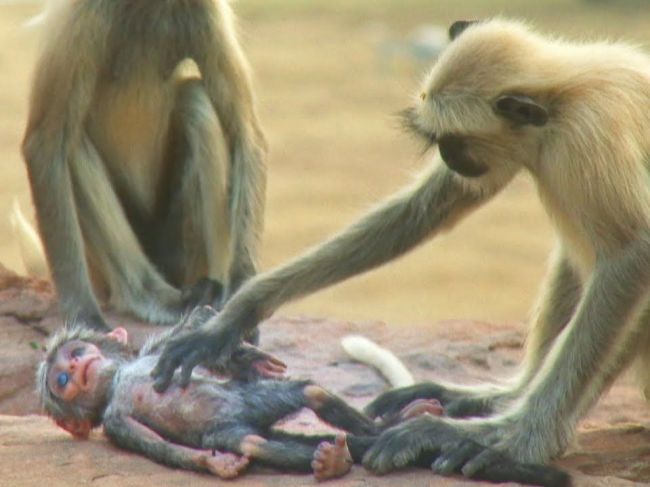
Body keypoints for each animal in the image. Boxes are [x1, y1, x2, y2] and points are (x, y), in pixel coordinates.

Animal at [22, 0, 266, 332]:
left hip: (181, 254)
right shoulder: (85, 10)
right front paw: (83, 316)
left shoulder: (207, 9)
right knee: (71, 144)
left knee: (194, 99)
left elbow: (246, 136)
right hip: (100, 269)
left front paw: (242, 296)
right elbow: (45, 144)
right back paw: (147, 294)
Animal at [35, 306, 564, 486]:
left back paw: (395, 427)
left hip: (254, 401)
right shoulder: (116, 419)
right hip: (231, 425)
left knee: (311, 391)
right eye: (60, 381)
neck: (117, 381)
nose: (77, 369)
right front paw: (216, 467)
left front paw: (245, 355)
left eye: (78, 353)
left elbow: (187, 339)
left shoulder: (149, 357)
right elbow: (154, 443)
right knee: (255, 441)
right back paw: (334, 460)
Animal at [149, 18, 648, 484]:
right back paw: (500, 396)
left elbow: (631, 256)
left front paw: (516, 438)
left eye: (455, 142)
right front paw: (234, 316)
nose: (448, 157)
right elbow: (427, 207)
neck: (564, 94)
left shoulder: (588, 135)